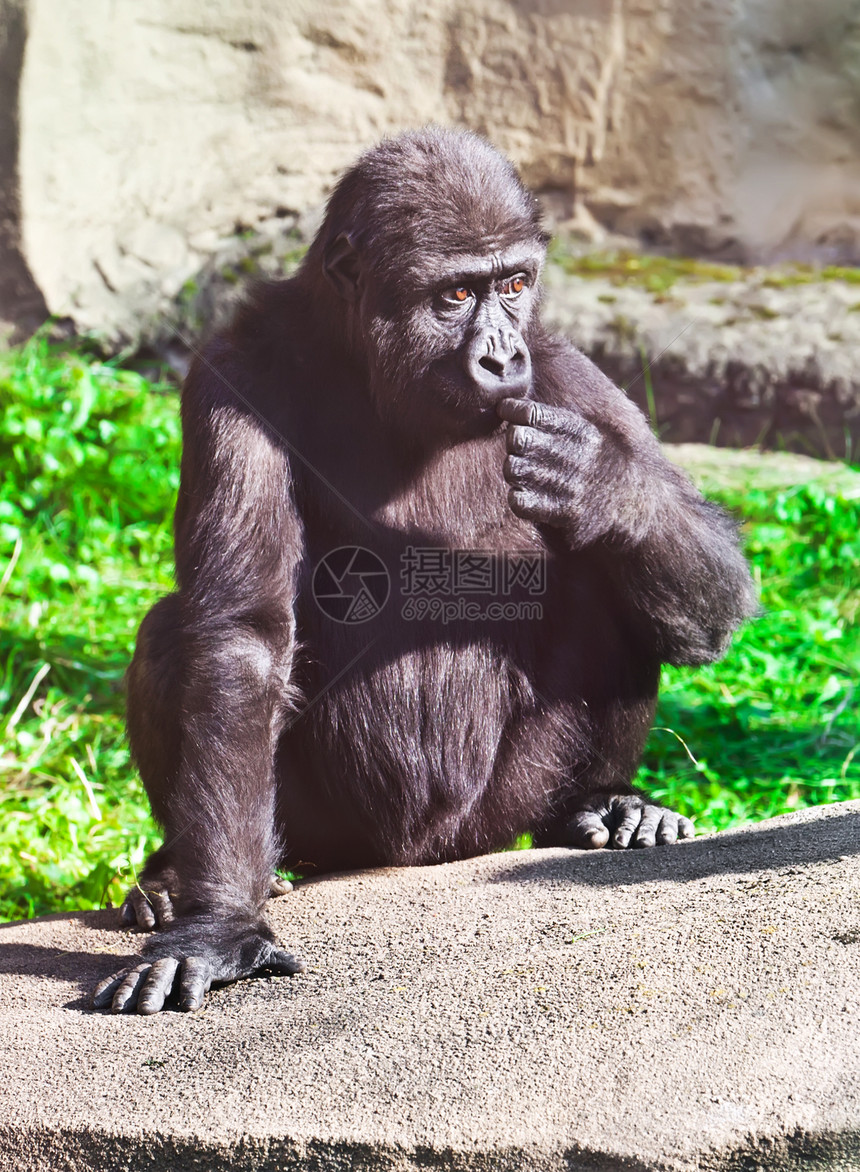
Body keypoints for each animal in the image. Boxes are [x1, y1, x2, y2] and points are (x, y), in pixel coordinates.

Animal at [90, 123, 759, 1012]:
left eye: (514, 284)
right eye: (454, 295)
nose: (503, 358)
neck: (362, 358)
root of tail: (414, 859)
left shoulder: (569, 374)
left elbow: (715, 582)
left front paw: (609, 487)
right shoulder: (233, 371)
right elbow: (240, 635)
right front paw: (218, 926)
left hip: (490, 816)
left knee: (619, 589)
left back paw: (597, 805)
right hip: (331, 832)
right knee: (179, 629)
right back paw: (179, 879)